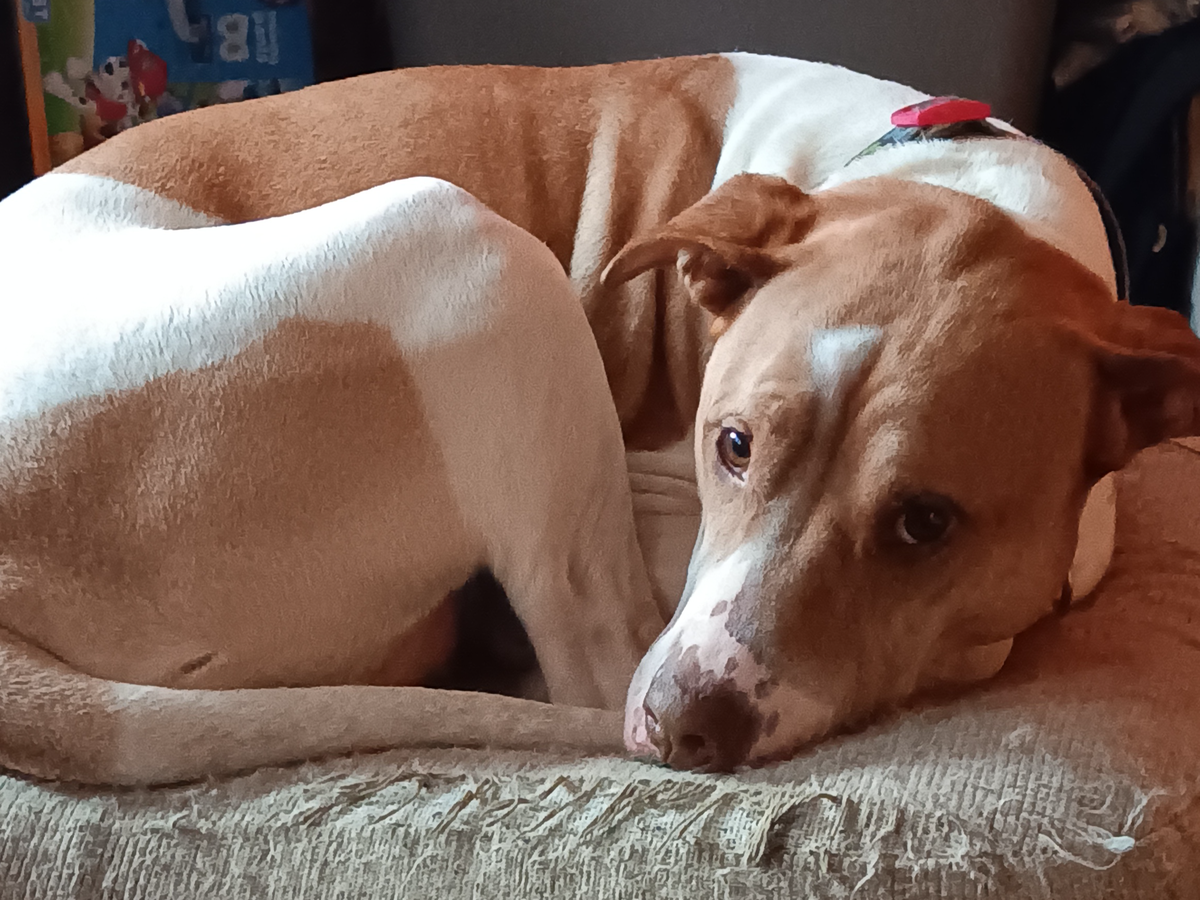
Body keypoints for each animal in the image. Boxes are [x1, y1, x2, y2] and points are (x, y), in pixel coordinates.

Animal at [3, 52, 1199, 782]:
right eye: (732, 444)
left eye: (926, 524)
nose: (686, 725)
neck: (959, 173)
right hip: (464, 246)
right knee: (590, 655)